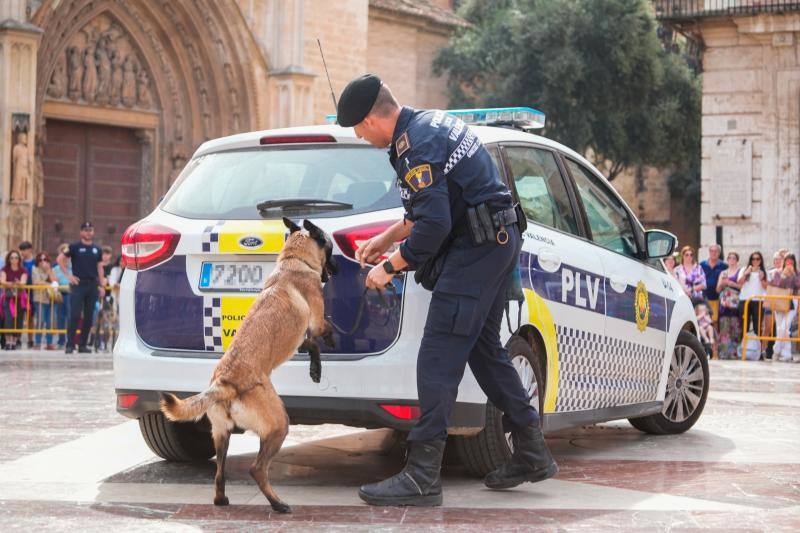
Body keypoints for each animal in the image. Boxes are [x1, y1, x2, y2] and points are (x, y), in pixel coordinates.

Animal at [159, 216, 338, 512]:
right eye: (331, 249)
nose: (335, 270)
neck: (293, 261)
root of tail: (224, 383)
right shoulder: (315, 323)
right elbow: (323, 333)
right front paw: (326, 352)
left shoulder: (302, 337)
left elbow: (311, 345)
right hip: (278, 425)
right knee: (257, 469)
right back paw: (278, 504)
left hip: (221, 434)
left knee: (219, 474)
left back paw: (222, 500)